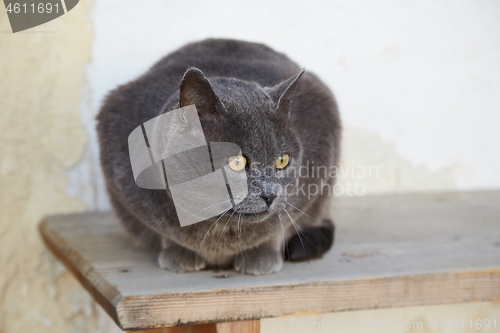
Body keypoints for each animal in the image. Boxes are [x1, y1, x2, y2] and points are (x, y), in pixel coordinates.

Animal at [96, 38, 342, 274]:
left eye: (283, 160)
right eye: (236, 162)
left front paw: (261, 257)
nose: (270, 194)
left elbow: (278, 226)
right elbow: (166, 231)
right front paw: (179, 254)